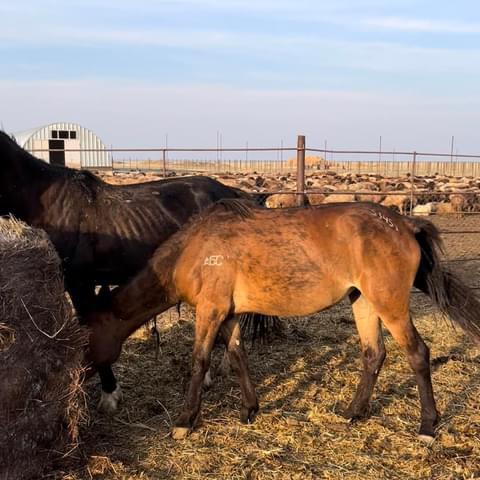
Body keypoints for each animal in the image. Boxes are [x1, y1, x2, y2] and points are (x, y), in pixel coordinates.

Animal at [86, 200, 480, 442]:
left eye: (86, 335)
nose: (86, 378)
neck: (196, 249)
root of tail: (404, 224)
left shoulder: (210, 311)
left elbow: (199, 361)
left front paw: (184, 421)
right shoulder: (228, 314)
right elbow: (237, 356)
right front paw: (249, 409)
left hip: (390, 304)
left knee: (417, 354)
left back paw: (427, 425)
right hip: (364, 301)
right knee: (373, 354)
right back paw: (353, 412)